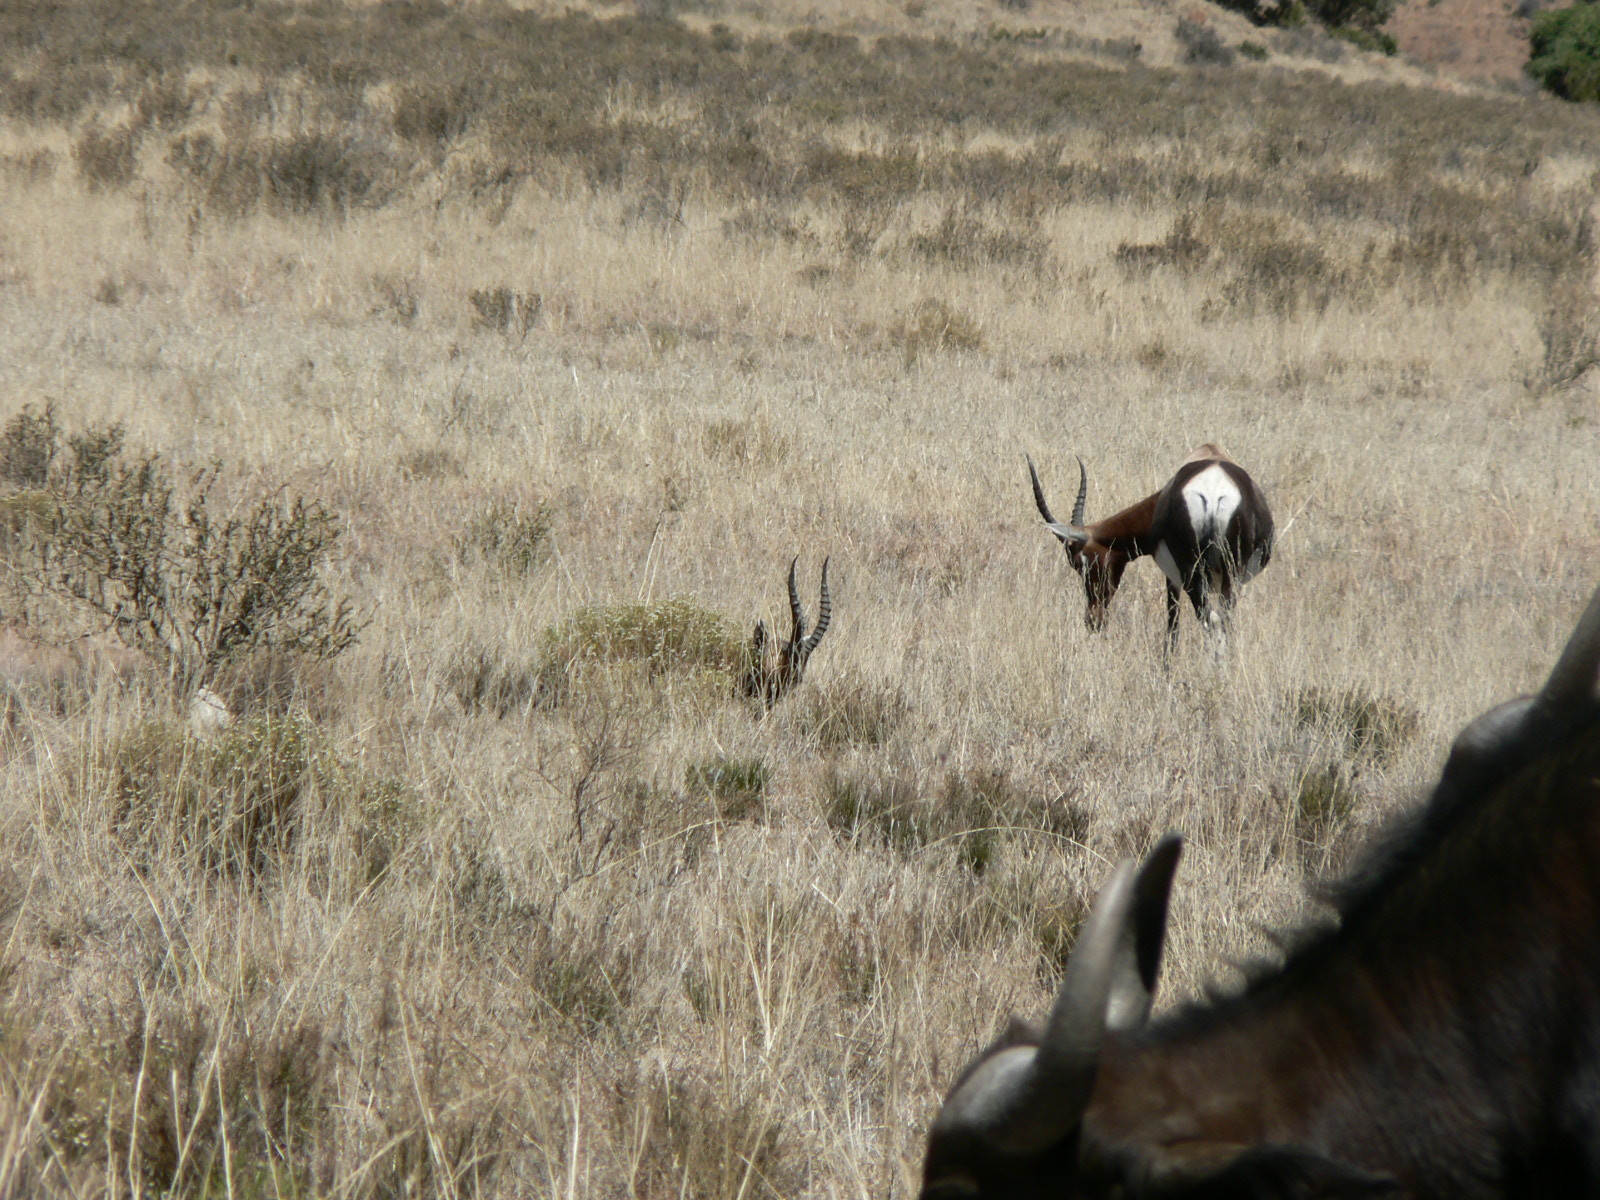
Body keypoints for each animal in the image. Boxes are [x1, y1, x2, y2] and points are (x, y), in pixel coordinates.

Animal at [1024, 448, 1273, 659]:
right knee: (1222, 622)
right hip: (1227, 577)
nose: (1094, 620)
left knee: (1210, 622)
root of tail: (1212, 493)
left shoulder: (1172, 578)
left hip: (1196, 576)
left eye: (1080, 562)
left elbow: (1172, 628)